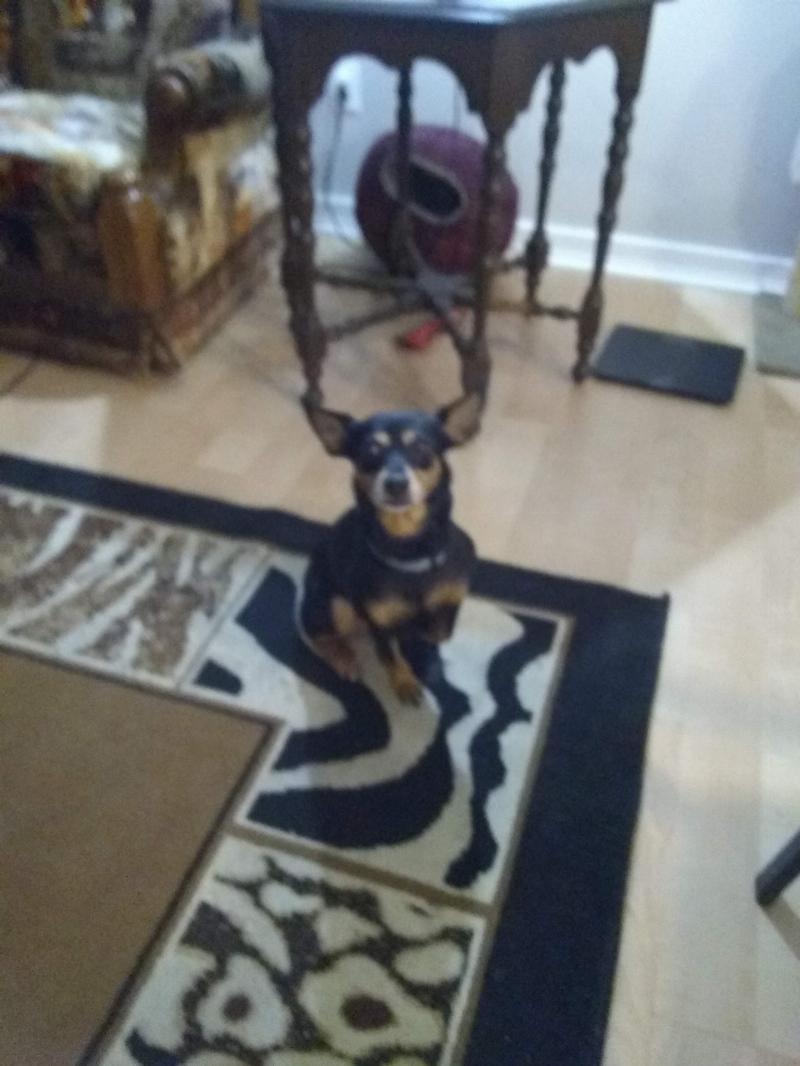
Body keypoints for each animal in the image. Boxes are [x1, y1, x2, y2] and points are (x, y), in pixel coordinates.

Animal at [300, 393, 482, 704]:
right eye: (370, 452)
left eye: (421, 448)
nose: (395, 483)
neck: (410, 547)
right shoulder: (380, 626)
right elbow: (389, 656)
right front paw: (405, 682)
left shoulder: (451, 601)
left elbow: (440, 632)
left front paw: (425, 649)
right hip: (335, 604)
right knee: (318, 634)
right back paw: (343, 657)